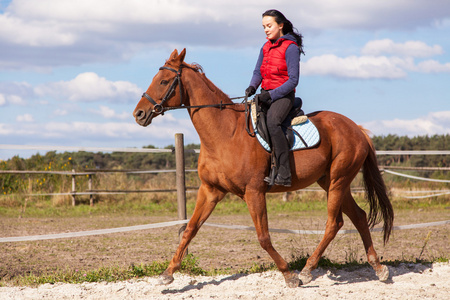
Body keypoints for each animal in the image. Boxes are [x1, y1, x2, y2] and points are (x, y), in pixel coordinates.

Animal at [132, 49, 392, 288]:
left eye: (164, 81)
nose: (139, 114)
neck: (224, 134)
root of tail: (357, 129)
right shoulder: (210, 190)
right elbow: (190, 229)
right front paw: (168, 273)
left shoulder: (254, 192)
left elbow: (263, 237)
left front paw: (289, 275)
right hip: (330, 182)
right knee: (359, 217)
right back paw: (378, 268)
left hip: (338, 180)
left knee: (333, 224)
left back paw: (307, 270)